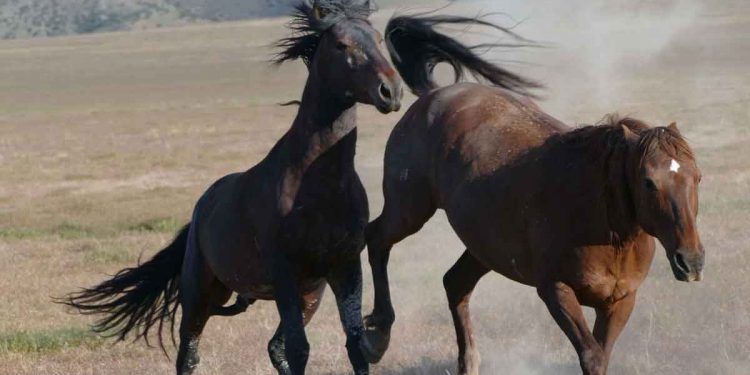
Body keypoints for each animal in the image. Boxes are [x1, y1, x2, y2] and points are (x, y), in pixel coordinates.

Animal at [63, 0, 406, 375]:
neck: (318, 185)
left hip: (308, 296)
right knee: (190, 353)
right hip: (200, 293)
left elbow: (355, 346)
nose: (391, 91)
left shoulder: (344, 269)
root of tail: (201, 207)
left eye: (379, 39)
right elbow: (301, 348)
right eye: (342, 44)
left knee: (274, 347)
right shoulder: (285, 273)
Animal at [362, 14, 708, 375]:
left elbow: (602, 352)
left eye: (698, 177)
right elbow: (593, 356)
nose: (691, 261)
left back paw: (468, 362)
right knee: (376, 239)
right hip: (409, 209)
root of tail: (434, 95)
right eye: (648, 182)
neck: (601, 221)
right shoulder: (556, 290)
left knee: (454, 283)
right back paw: (376, 337)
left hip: (484, 246)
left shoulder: (620, 300)